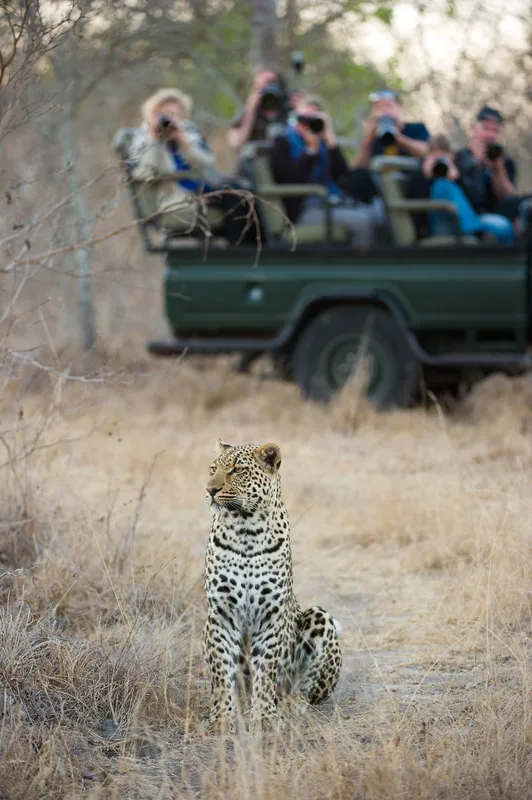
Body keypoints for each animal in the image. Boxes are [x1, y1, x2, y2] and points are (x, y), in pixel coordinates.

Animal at [203, 439, 342, 732]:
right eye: (212, 469)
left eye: (236, 470)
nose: (209, 490)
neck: (245, 528)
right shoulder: (220, 614)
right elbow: (221, 671)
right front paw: (222, 718)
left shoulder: (271, 614)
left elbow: (266, 669)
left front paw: (265, 717)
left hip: (320, 617)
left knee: (308, 690)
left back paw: (290, 704)